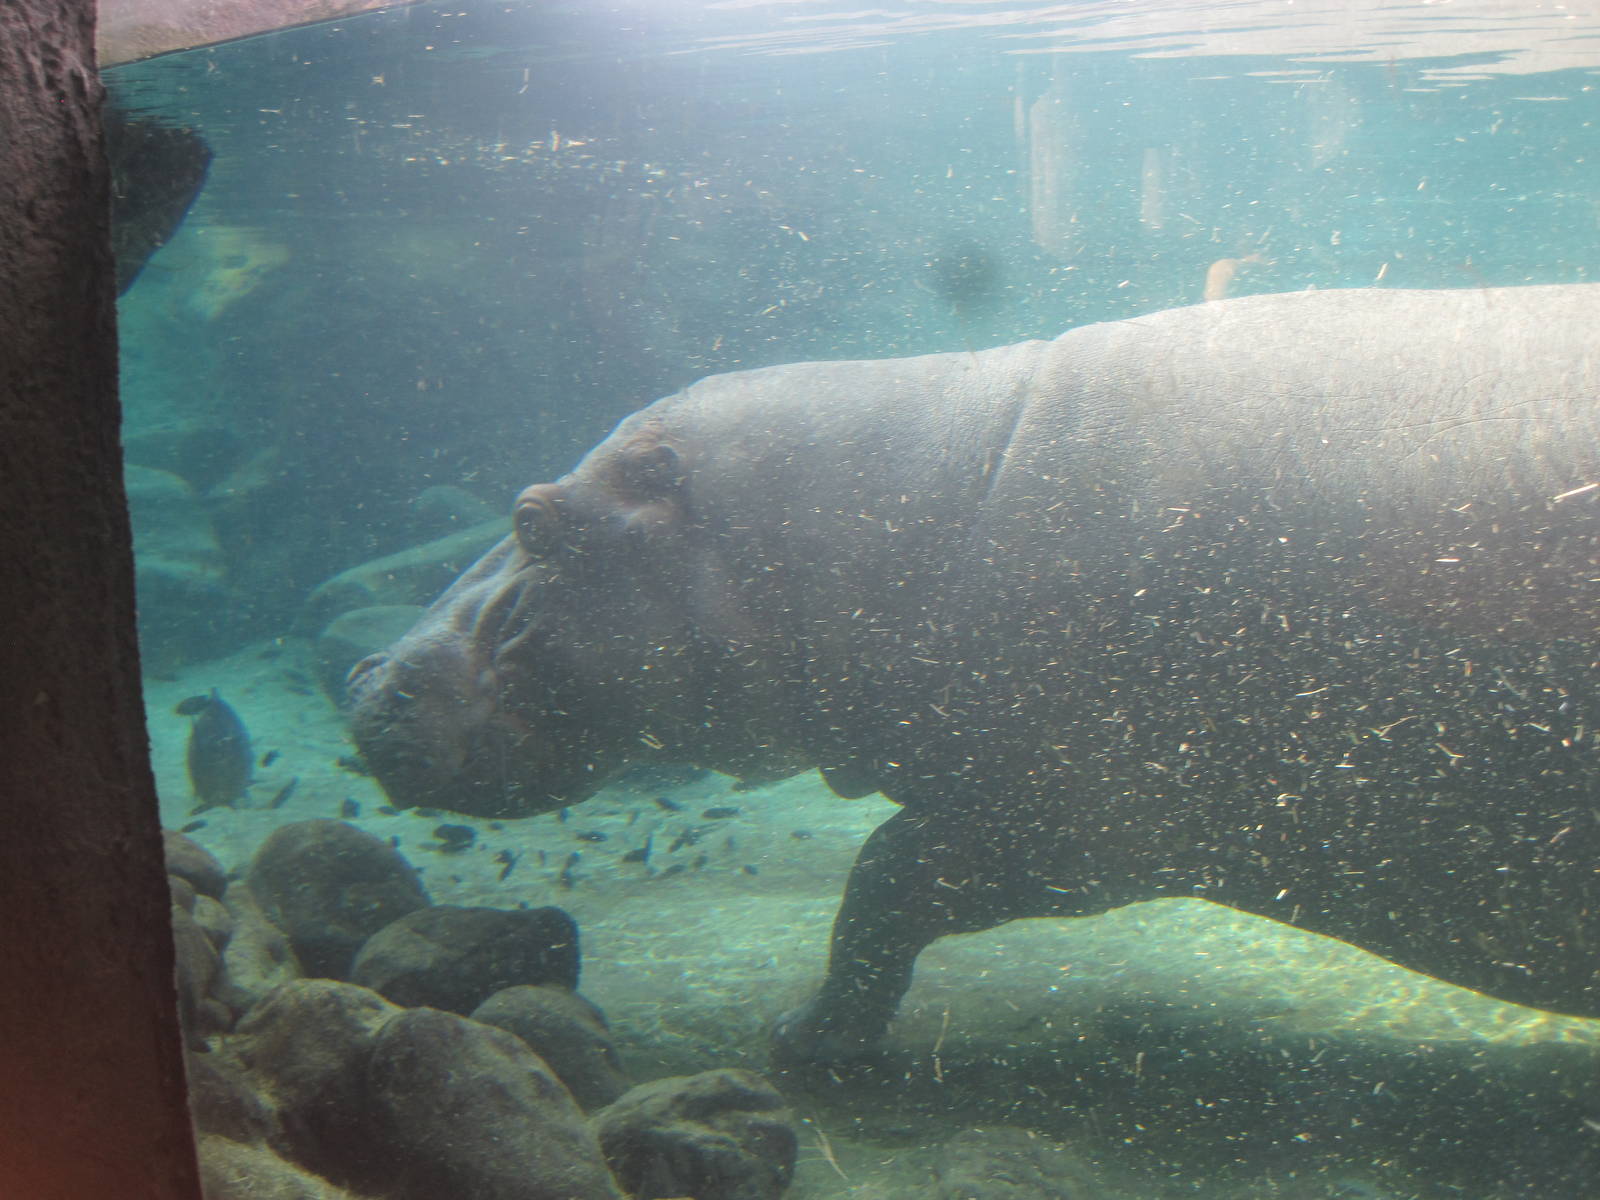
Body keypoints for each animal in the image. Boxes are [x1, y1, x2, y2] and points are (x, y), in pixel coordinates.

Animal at [350, 285, 1600, 1061]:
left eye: (533, 518)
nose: (366, 677)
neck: (938, 487)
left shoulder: (1057, 824)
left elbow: (879, 889)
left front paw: (800, 1044)